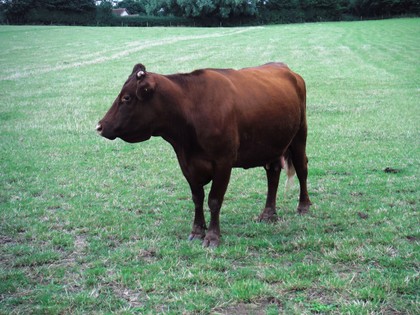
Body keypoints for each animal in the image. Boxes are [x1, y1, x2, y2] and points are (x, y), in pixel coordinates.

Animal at [97, 63, 310, 248]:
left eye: (126, 98)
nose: (99, 126)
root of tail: (286, 69)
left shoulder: (223, 162)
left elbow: (214, 200)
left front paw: (212, 236)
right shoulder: (186, 163)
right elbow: (197, 197)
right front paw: (197, 231)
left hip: (299, 136)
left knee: (302, 168)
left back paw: (303, 206)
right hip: (273, 144)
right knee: (272, 174)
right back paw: (268, 214)